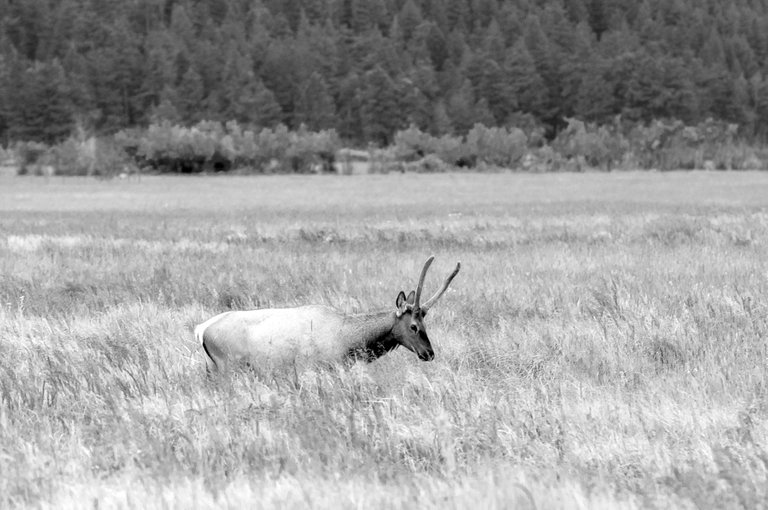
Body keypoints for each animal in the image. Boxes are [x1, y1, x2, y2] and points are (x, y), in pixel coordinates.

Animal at [196, 256, 462, 372]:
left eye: (425, 323)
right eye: (413, 326)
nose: (429, 353)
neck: (345, 335)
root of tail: (202, 329)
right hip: (228, 369)